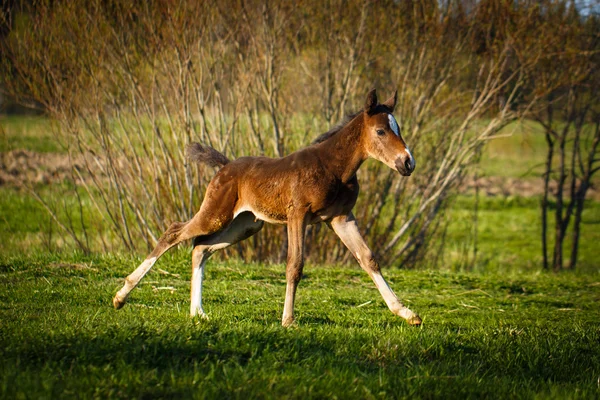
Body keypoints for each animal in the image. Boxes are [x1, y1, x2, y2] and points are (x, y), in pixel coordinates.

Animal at [113, 89, 422, 326]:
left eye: (398, 129)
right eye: (380, 131)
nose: (408, 163)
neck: (334, 167)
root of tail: (224, 167)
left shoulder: (340, 217)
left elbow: (368, 258)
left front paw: (407, 313)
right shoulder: (298, 214)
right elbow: (294, 265)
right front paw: (288, 320)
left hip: (245, 225)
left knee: (200, 248)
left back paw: (197, 312)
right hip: (216, 214)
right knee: (174, 232)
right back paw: (121, 296)